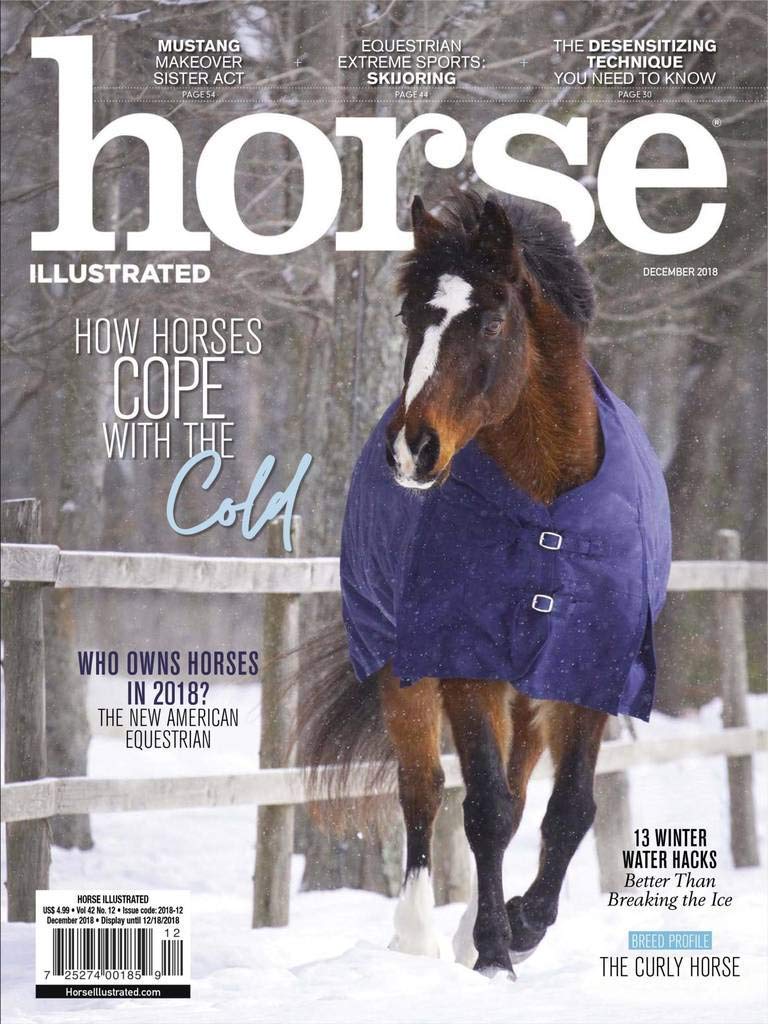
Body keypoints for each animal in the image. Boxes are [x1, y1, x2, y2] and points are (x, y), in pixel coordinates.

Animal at [298, 191, 671, 977]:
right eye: (410, 317)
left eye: (493, 323)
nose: (412, 449)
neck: (547, 507)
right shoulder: (463, 661)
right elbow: (484, 809)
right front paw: (497, 950)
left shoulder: (589, 666)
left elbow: (568, 810)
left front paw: (523, 924)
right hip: (405, 670)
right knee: (423, 791)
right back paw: (418, 936)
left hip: (526, 688)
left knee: (520, 788)